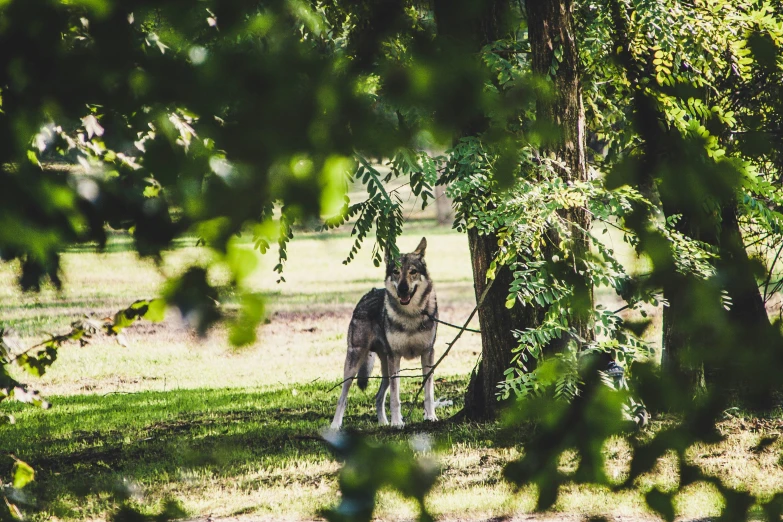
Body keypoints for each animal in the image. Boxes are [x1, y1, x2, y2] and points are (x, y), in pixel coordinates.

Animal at [330, 236, 438, 426]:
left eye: (413, 272)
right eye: (396, 272)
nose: (403, 289)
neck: (410, 316)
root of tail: (367, 295)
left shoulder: (428, 354)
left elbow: (428, 392)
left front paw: (430, 416)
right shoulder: (395, 357)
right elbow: (395, 397)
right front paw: (397, 423)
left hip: (386, 370)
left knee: (378, 397)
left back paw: (383, 423)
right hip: (354, 364)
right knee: (342, 397)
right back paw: (335, 426)